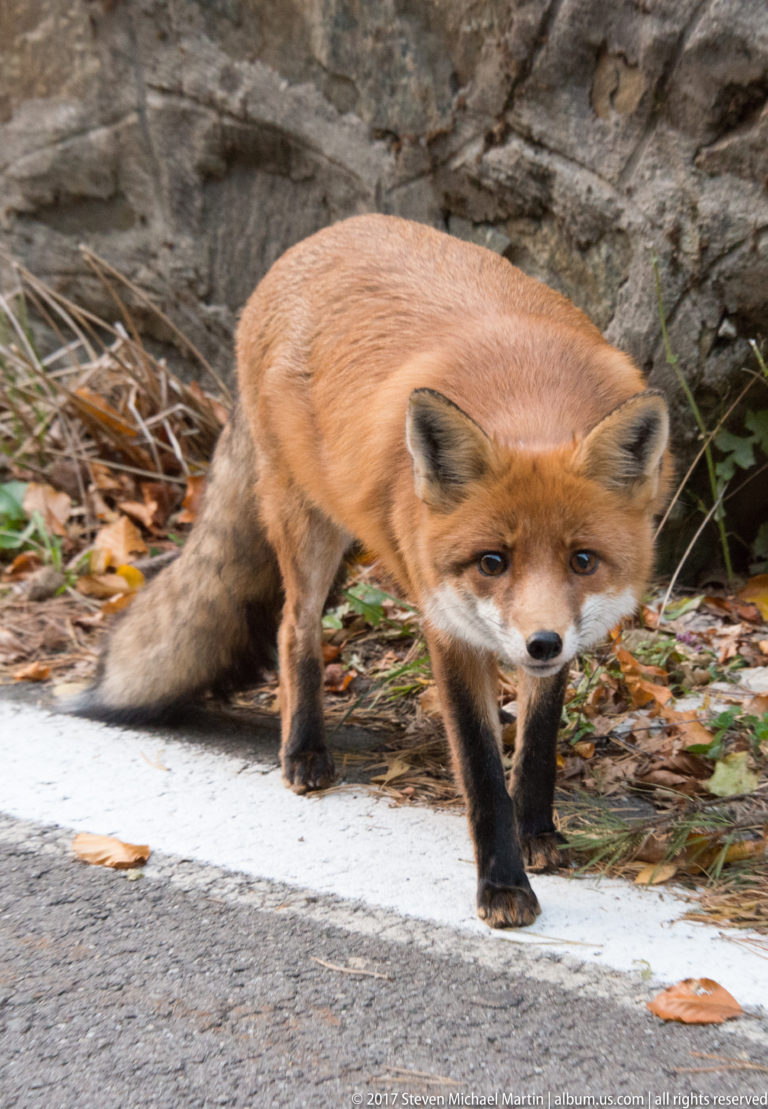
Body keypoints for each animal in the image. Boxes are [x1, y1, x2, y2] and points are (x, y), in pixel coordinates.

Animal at [74, 214, 671, 928]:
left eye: (582, 560)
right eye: (492, 562)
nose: (541, 643)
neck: (529, 398)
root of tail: (325, 233)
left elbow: (537, 747)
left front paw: (537, 833)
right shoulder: (448, 628)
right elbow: (481, 773)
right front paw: (503, 884)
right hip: (307, 527)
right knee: (293, 629)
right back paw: (304, 751)